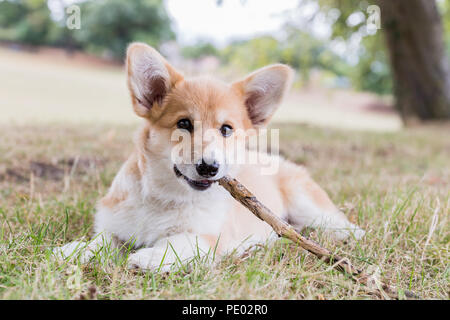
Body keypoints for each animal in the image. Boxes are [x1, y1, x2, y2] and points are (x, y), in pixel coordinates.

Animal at [55, 42, 366, 272]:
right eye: (183, 124)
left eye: (226, 129)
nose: (209, 168)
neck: (166, 198)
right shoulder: (116, 226)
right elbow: (102, 241)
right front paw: (74, 250)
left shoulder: (212, 237)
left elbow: (180, 242)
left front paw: (150, 256)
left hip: (307, 204)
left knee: (337, 223)